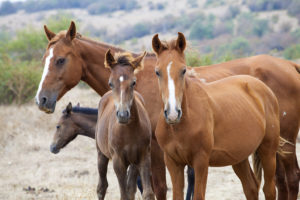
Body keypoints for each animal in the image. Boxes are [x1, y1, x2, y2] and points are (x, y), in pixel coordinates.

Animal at [94, 50, 155, 200]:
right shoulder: (118, 161)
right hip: (101, 154)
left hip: (133, 163)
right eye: (110, 83)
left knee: (131, 188)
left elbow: (147, 193)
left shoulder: (144, 157)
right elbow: (123, 194)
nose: (123, 115)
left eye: (133, 82)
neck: (129, 130)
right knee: (101, 187)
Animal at [152, 32, 282, 199]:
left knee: (269, 189)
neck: (179, 127)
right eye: (157, 72)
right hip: (239, 157)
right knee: (251, 187)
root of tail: (263, 87)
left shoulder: (201, 161)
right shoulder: (173, 163)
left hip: (268, 151)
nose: (173, 113)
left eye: (183, 70)